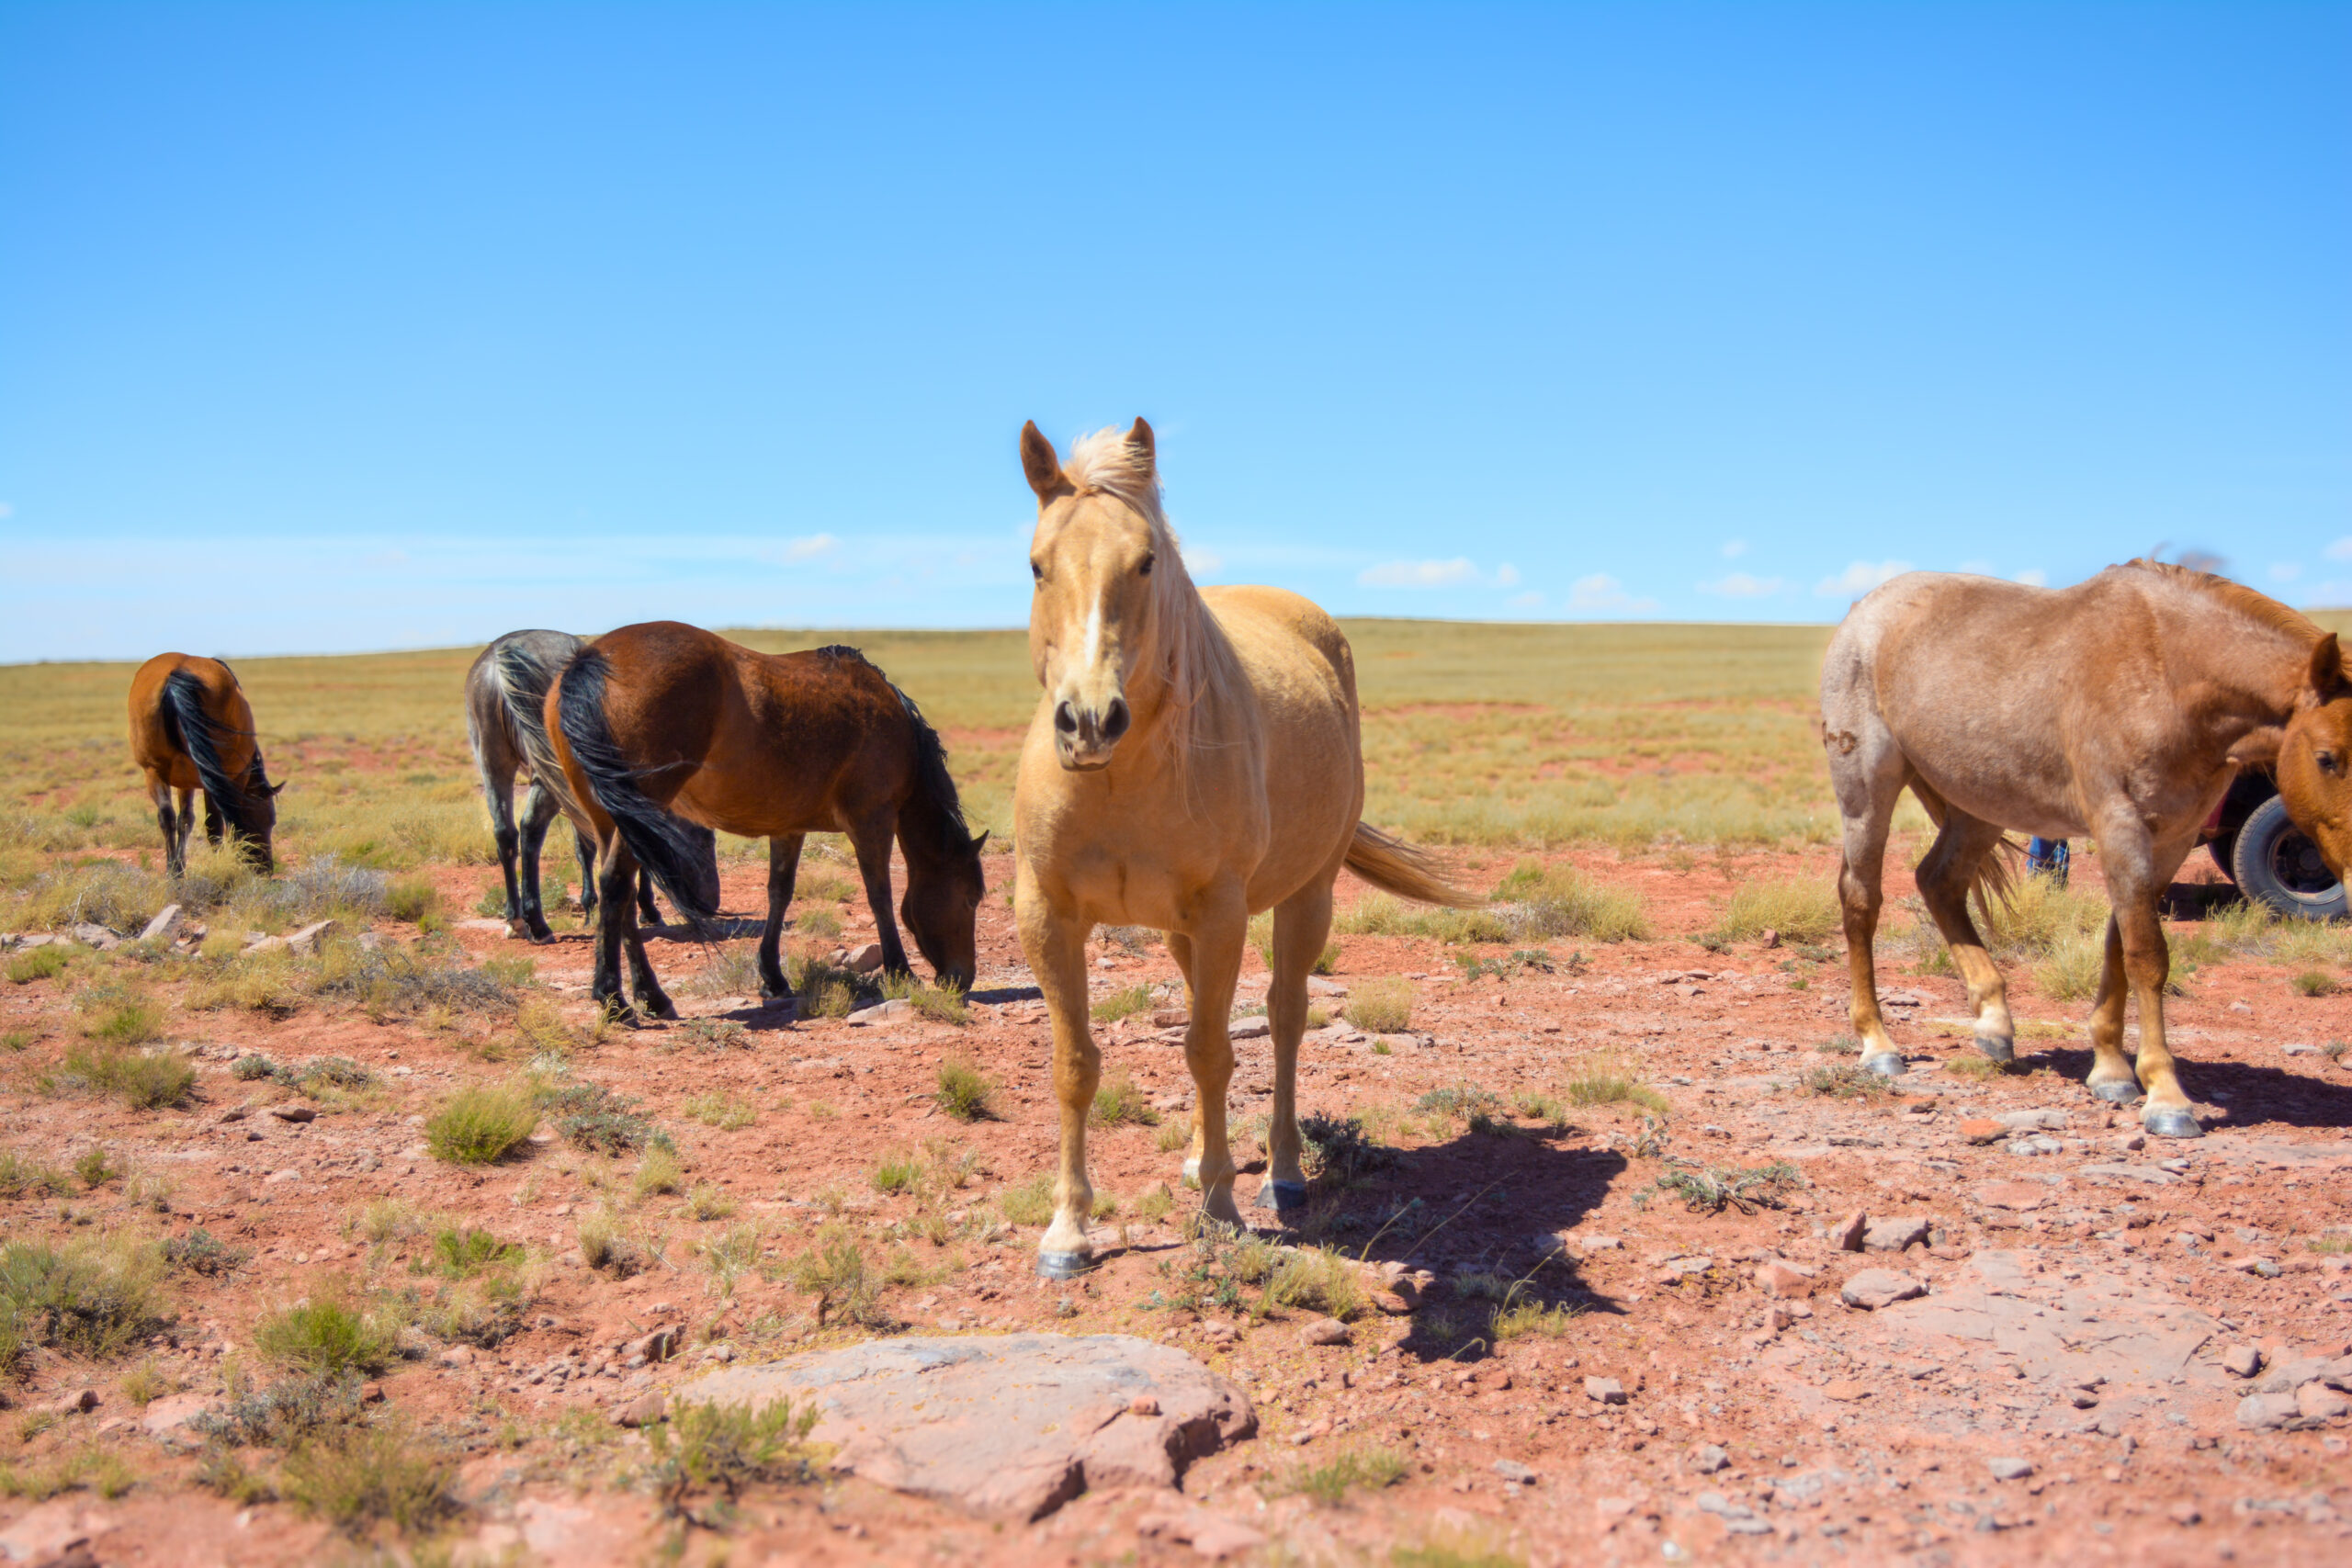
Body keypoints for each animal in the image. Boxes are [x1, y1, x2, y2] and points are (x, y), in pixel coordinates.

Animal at [127, 653, 284, 876]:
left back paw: (172, 872)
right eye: (270, 820)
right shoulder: (232, 778)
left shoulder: (184, 782)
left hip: (153, 771)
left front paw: (179, 868)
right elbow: (221, 823)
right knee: (215, 824)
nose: (266, 869)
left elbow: (185, 819)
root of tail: (176, 674)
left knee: (166, 816)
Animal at [465, 629, 718, 943]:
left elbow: (586, 845)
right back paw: (538, 923)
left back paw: (517, 920)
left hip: (495, 764)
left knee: (506, 834)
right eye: (707, 838)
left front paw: (591, 906)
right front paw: (647, 910)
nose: (712, 904)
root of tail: (505, 652)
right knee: (531, 829)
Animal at [545, 622, 987, 1023]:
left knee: (619, 897)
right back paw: (614, 999)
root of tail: (592, 659)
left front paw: (773, 978)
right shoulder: (872, 820)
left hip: (613, 820)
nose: (962, 978)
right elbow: (880, 895)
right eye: (970, 898)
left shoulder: (789, 828)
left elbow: (780, 893)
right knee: (615, 885)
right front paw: (900, 970)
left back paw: (651, 997)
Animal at [1011, 419, 1477, 1278]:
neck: (1121, 780)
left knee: (1285, 1019)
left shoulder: (1224, 912)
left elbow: (1212, 1051)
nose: (1089, 721)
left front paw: (1222, 1206)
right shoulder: (1048, 916)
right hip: (1178, 931)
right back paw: (1201, 1154)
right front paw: (1068, 1230)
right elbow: (1076, 1063)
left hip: (1305, 898)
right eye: (1036, 563)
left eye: (1146, 561)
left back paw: (1282, 1172)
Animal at [1821, 560, 2352, 1138]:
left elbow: (2119, 944)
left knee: (1939, 882)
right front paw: (2166, 1096)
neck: (2167, 673)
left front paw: (2111, 1070)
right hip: (1867, 789)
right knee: (1861, 900)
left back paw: (1994, 1022)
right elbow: (2147, 956)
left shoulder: (2170, 839)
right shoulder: (2120, 825)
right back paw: (1877, 1044)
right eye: (2327, 758)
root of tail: (1865, 610)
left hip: (1980, 804)